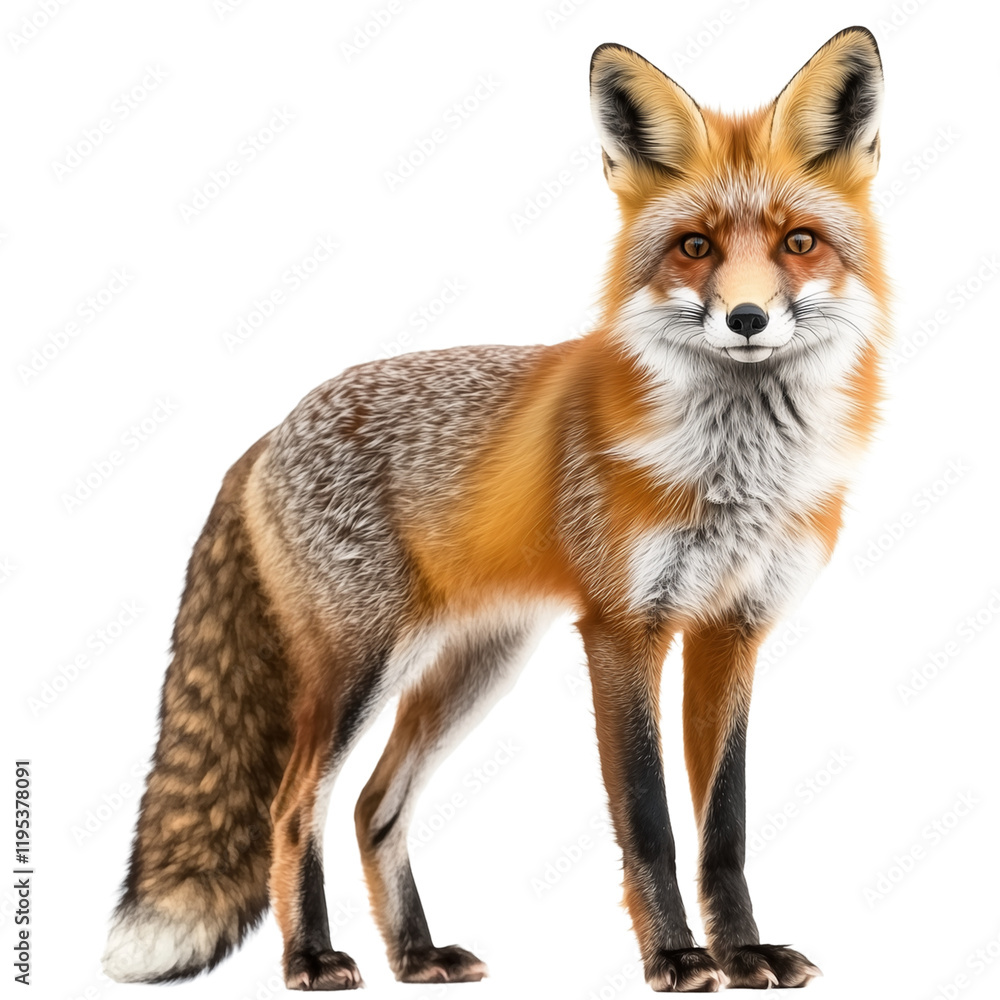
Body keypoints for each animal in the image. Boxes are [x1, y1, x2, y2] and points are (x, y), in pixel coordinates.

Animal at [102, 26, 889, 993]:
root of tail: (270, 430)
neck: (735, 471)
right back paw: (312, 956)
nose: (746, 318)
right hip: (360, 666)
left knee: (374, 804)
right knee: (294, 808)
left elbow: (726, 828)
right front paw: (676, 955)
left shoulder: (732, 629)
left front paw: (743, 953)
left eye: (799, 242)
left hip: (475, 665)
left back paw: (415, 954)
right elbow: (651, 823)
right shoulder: (622, 629)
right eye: (696, 246)